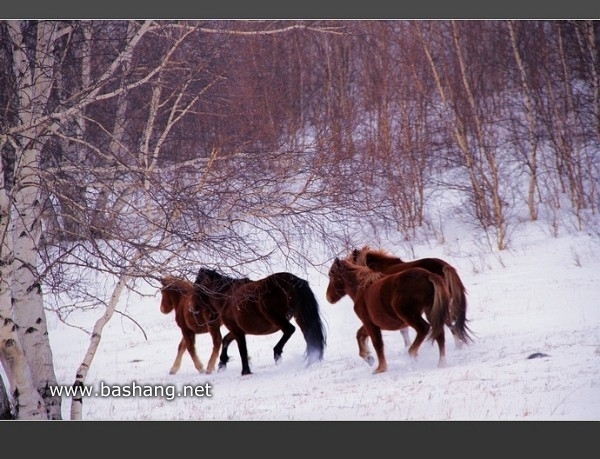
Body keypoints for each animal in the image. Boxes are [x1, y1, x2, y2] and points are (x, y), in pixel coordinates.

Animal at [193, 268, 326, 376]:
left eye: (197, 286)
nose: (192, 308)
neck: (227, 296)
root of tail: (294, 281)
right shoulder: (238, 330)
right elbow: (226, 340)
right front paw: (222, 363)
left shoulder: (237, 330)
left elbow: (242, 350)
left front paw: (245, 371)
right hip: (300, 317)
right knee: (308, 336)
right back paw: (311, 359)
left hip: (275, 317)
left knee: (289, 330)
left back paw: (277, 354)